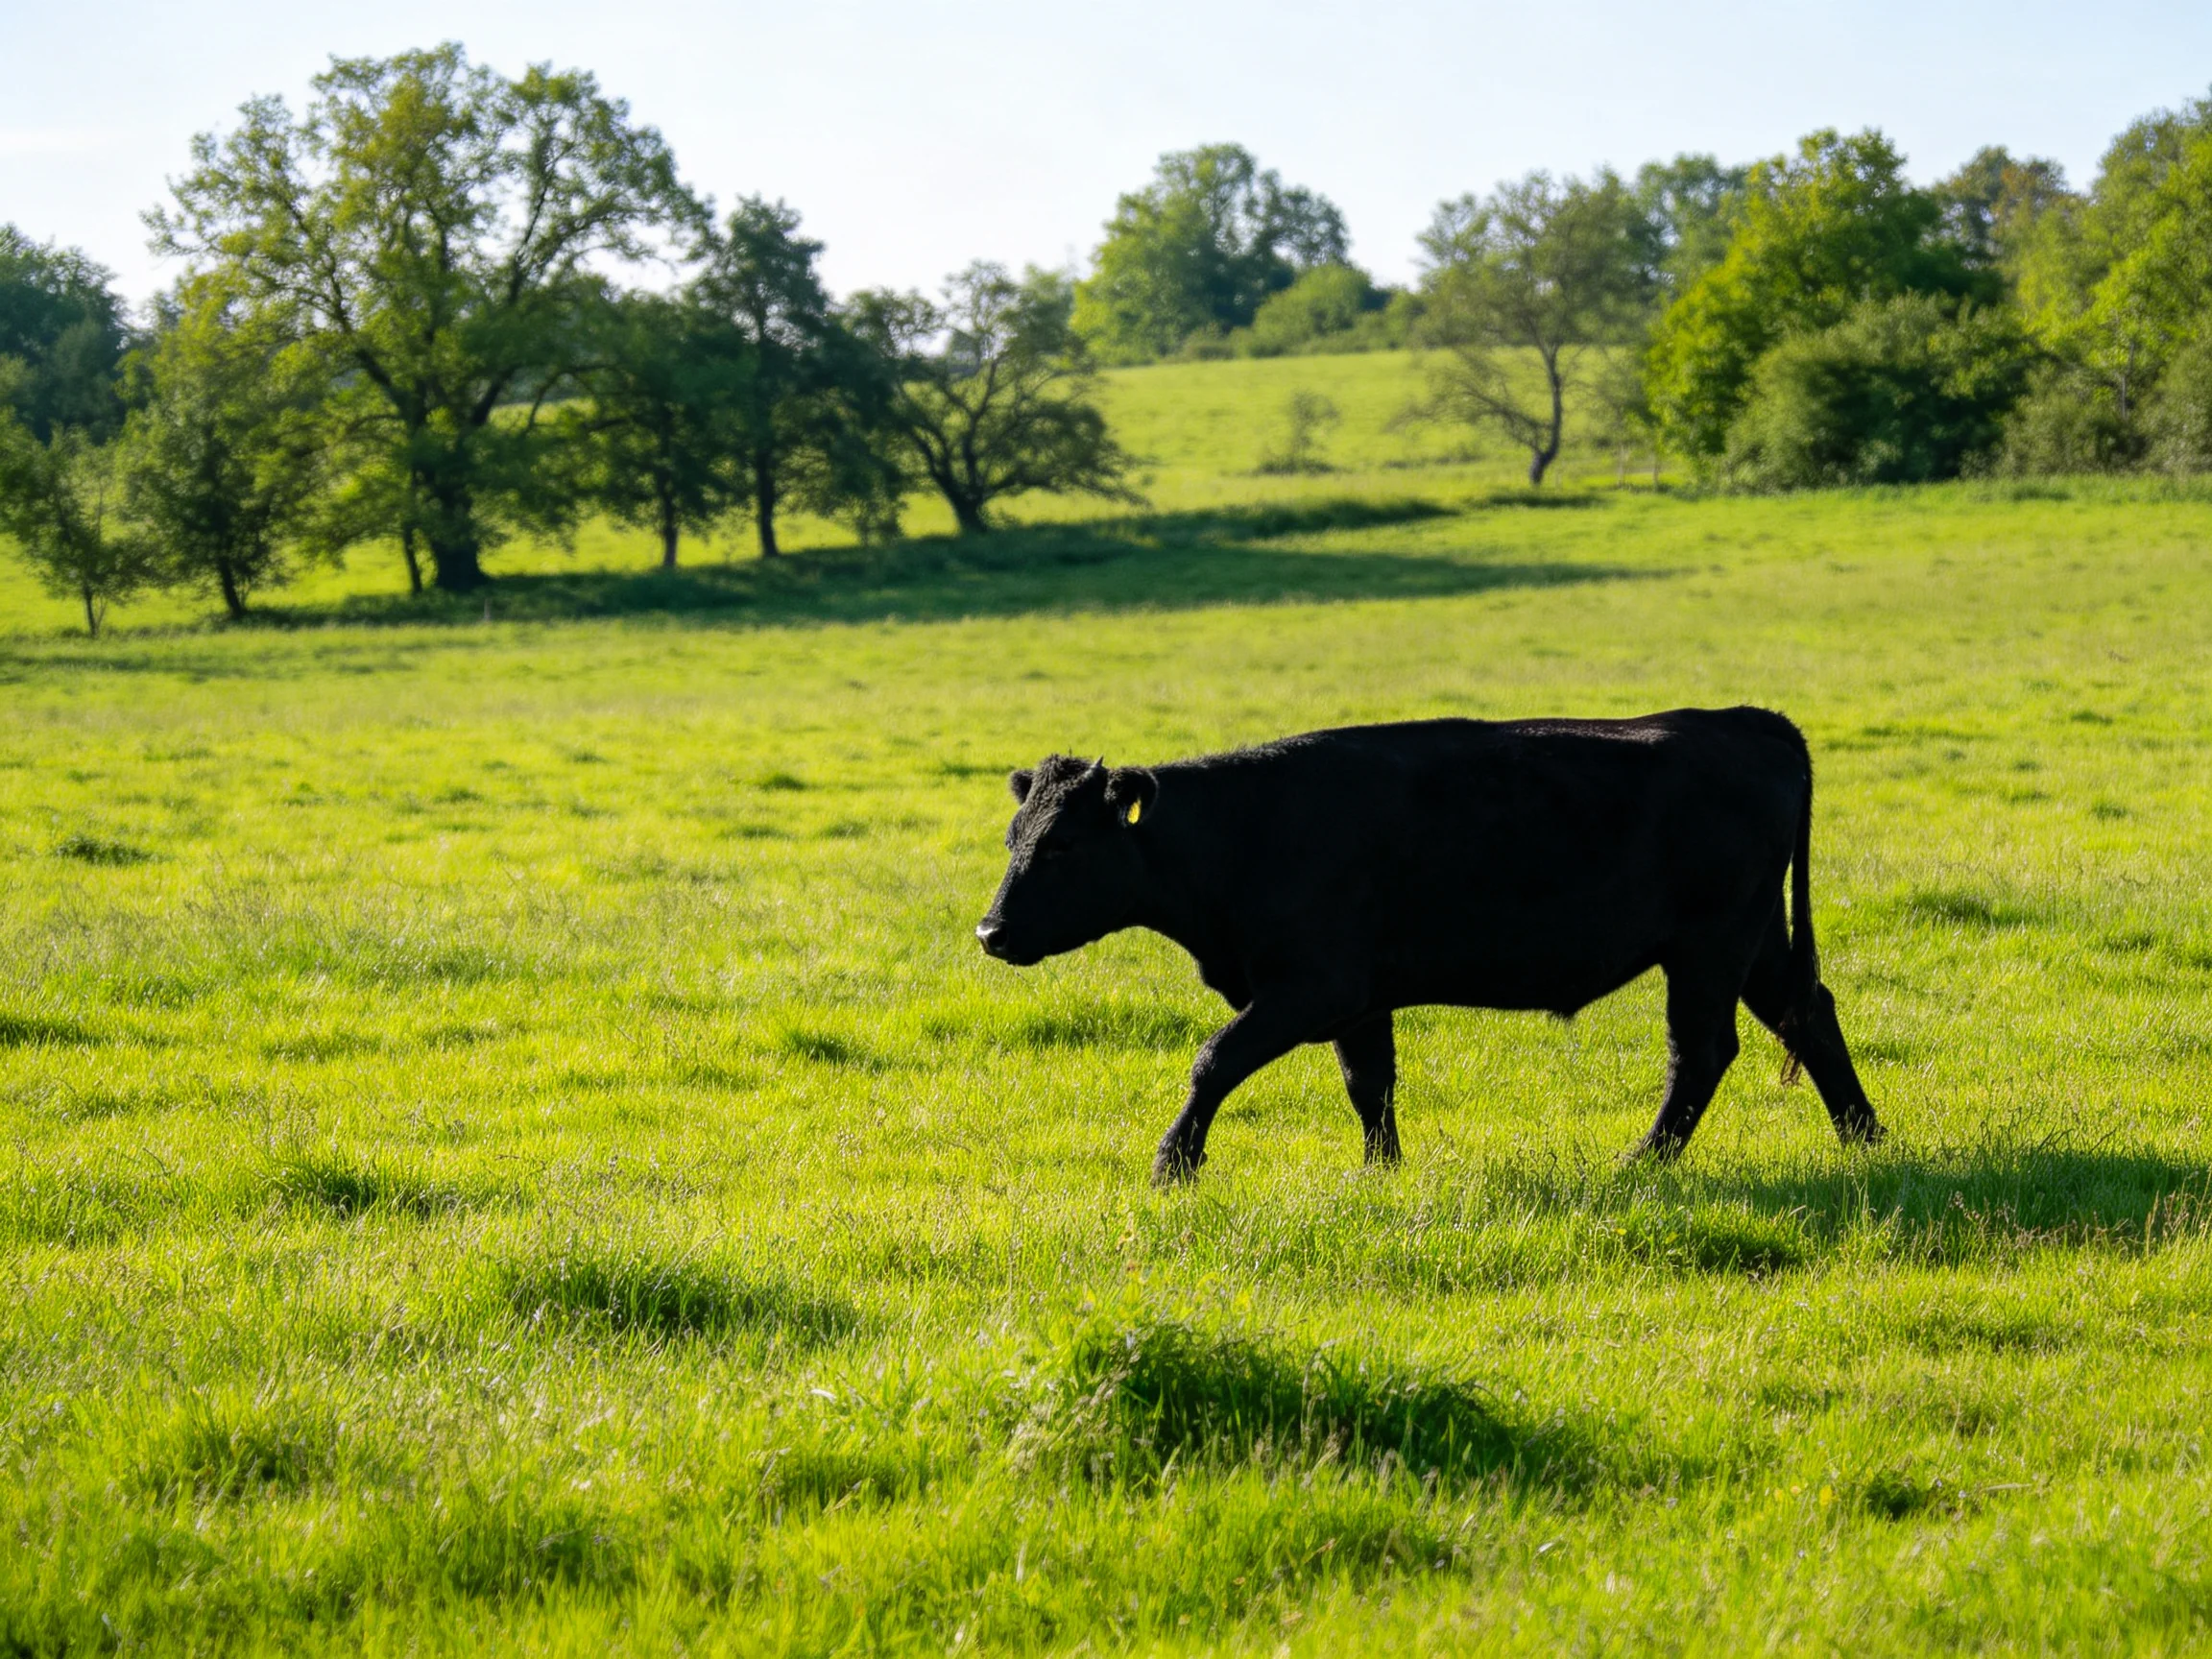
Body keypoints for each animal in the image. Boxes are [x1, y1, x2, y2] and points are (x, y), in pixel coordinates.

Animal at [974, 708, 1884, 1183]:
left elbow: (1215, 1058)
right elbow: (1368, 1085)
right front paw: (1381, 1173)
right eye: (1016, 835)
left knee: (1703, 1051)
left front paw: (1175, 1162)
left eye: (1062, 846)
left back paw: (1642, 1162)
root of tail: (1745, 723)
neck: (1242, 833)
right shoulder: (1358, 1000)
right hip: (1756, 941)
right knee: (1807, 1013)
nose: (991, 931)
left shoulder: (1312, 986)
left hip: (1710, 946)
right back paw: (1865, 1138)